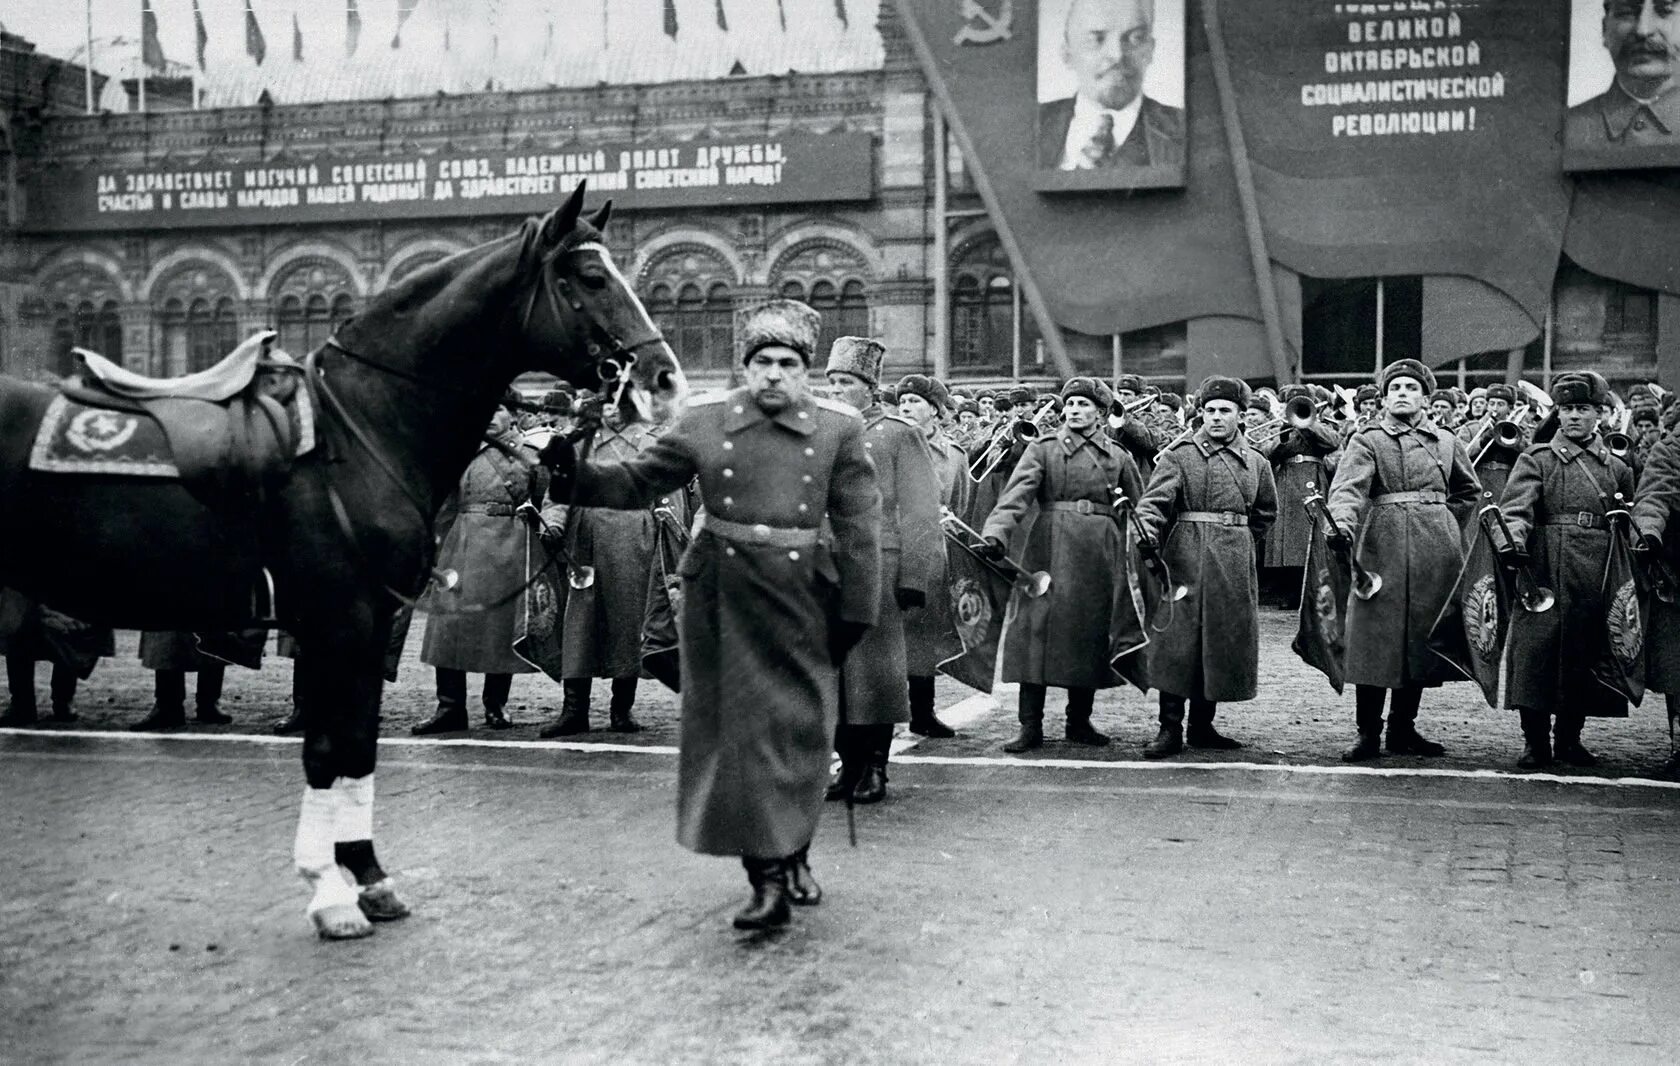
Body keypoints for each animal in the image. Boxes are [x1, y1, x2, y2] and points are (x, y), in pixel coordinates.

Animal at [0, 183, 688, 940]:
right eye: (591, 277)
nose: (665, 379)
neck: (359, 429)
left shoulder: (367, 619)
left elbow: (355, 743)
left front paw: (367, 877)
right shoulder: (341, 618)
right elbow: (331, 747)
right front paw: (332, 892)